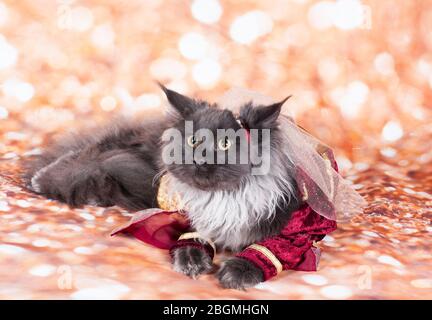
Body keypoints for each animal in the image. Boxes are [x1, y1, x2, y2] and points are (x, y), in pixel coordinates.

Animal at [26, 85, 304, 290]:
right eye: (193, 141)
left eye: (225, 144)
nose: (200, 160)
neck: (226, 196)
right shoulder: (186, 214)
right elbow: (190, 239)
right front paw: (190, 262)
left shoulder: (297, 228)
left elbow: (266, 250)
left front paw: (236, 273)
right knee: (92, 152)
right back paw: (42, 178)